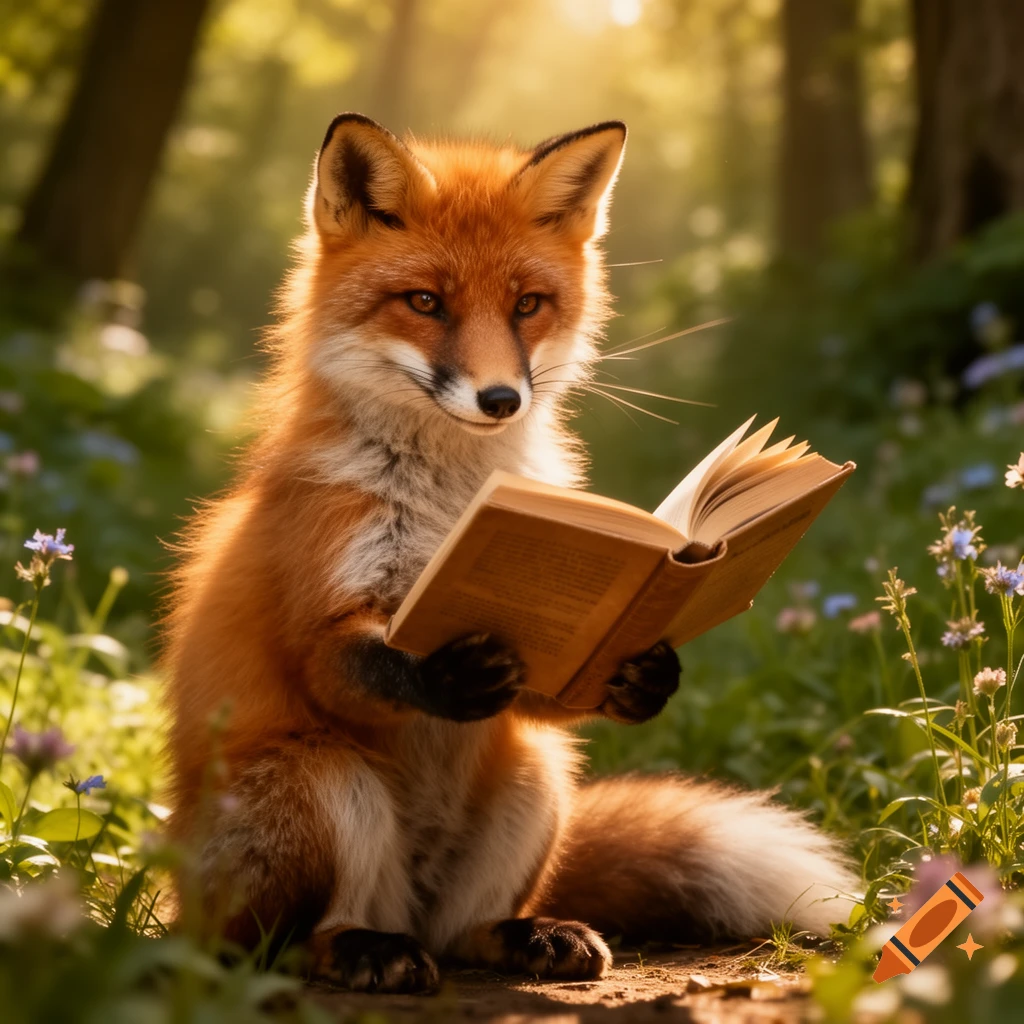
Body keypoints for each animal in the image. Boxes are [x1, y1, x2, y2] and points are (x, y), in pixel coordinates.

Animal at [162, 113, 856, 993]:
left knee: (463, 931)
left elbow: (564, 685)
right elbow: (352, 664)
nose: (501, 399)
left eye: (527, 305)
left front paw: (645, 675)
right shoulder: (319, 611)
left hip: (538, 774)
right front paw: (440, 678)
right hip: (321, 780)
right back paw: (357, 949)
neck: (452, 500)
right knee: (281, 945)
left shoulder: (542, 684)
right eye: (425, 302)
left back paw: (523, 935)